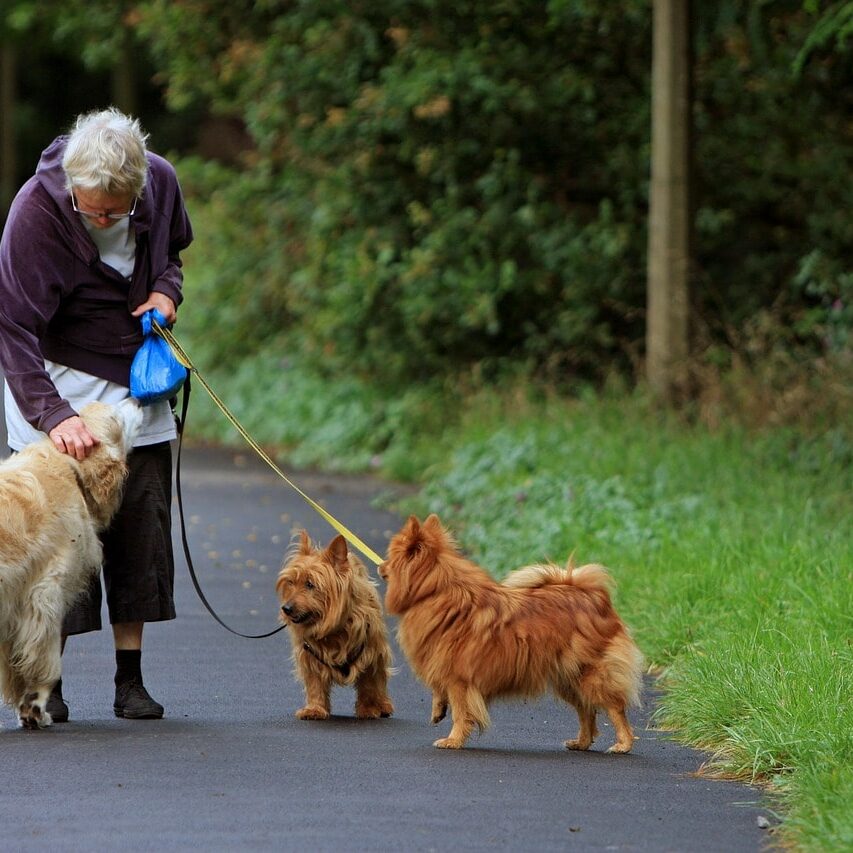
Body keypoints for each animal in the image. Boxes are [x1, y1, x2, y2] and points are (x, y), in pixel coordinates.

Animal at [0, 398, 141, 724]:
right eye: (116, 416)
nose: (136, 398)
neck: (66, 466)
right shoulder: (44, 595)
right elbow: (46, 659)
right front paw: (36, 708)